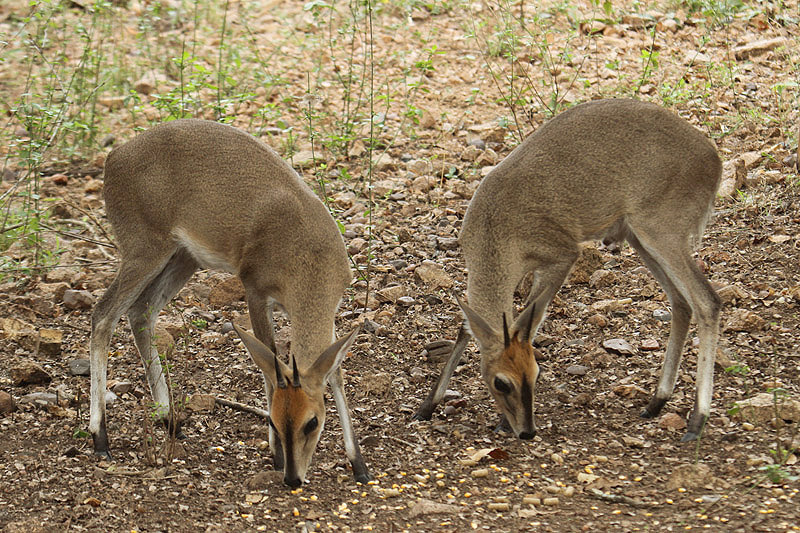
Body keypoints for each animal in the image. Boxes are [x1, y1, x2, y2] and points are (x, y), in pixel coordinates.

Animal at [88, 118, 372, 484]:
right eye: (272, 419)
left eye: (313, 421)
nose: (293, 478)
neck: (308, 256)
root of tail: (114, 158)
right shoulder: (255, 292)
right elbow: (269, 363)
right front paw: (276, 454)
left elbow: (334, 373)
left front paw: (359, 464)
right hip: (144, 250)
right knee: (103, 314)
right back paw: (100, 437)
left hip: (183, 257)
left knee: (140, 312)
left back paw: (169, 420)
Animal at [416, 98, 720, 440]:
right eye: (501, 383)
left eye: (536, 374)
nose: (527, 431)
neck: (495, 228)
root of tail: (715, 161)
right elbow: (468, 326)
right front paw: (427, 406)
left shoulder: (562, 256)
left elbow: (530, 324)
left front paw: (501, 421)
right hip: (640, 237)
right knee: (681, 303)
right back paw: (656, 401)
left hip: (662, 233)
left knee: (707, 300)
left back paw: (696, 421)